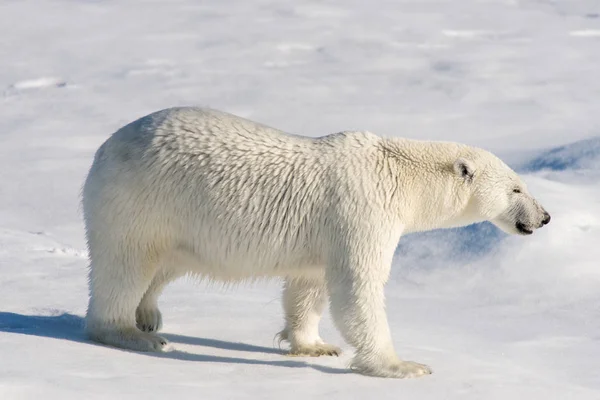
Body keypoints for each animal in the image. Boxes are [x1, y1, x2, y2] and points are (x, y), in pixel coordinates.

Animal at [82, 107, 552, 378]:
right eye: (516, 188)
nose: (545, 217)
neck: (398, 174)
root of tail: (104, 148)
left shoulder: (323, 232)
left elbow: (309, 286)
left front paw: (315, 345)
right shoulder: (362, 210)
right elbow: (358, 288)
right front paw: (403, 365)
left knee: (164, 264)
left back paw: (149, 315)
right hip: (140, 201)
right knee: (126, 265)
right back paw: (131, 333)